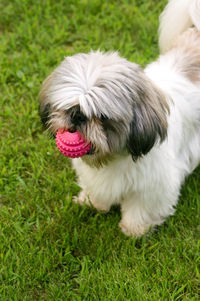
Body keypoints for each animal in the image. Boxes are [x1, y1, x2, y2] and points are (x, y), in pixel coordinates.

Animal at [38, 0, 200, 237]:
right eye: (68, 107)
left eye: (102, 117)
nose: (77, 116)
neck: (113, 159)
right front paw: (92, 203)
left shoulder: (155, 185)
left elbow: (141, 208)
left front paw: (134, 230)